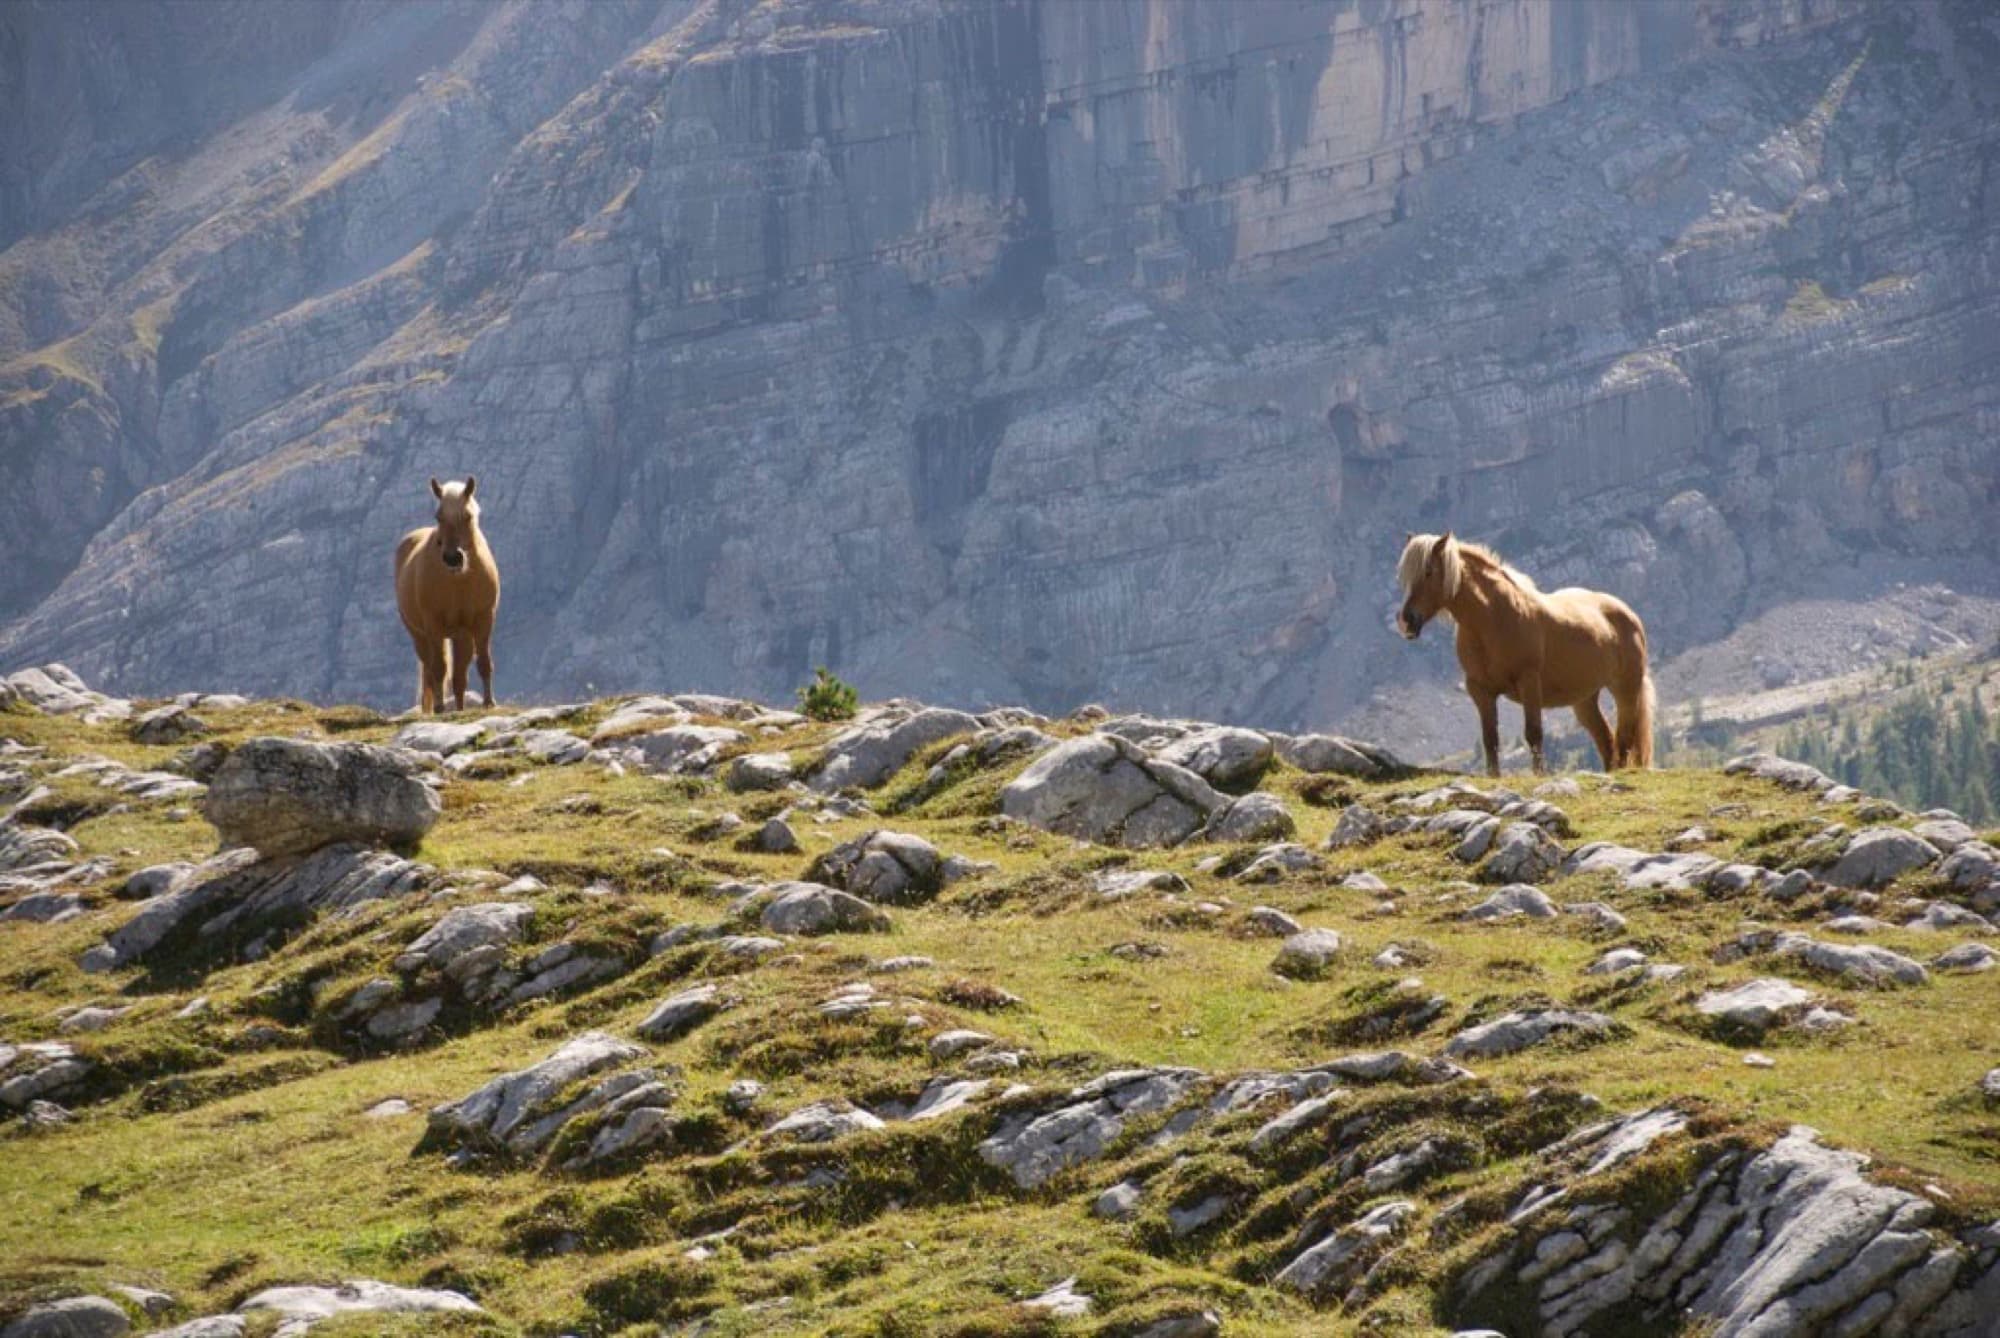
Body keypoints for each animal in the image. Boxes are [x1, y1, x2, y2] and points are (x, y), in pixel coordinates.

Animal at [394, 477, 500, 714]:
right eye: (439, 516)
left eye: (468, 516)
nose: (453, 558)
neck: (458, 581)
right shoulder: (434, 625)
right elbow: (439, 669)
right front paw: (440, 707)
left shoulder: (483, 620)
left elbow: (484, 662)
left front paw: (489, 702)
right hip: (421, 636)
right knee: (431, 671)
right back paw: (436, 707)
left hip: (461, 636)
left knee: (459, 677)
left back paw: (460, 709)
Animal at [1395, 532, 1653, 776]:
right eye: (1405, 577)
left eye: (1428, 571)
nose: (1407, 620)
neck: (1493, 618)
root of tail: (1628, 614)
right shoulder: (1480, 690)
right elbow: (1490, 738)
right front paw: (1494, 776)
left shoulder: (1528, 681)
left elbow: (1533, 733)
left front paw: (1539, 775)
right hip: (1585, 699)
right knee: (1606, 741)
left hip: (1625, 688)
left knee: (1624, 737)